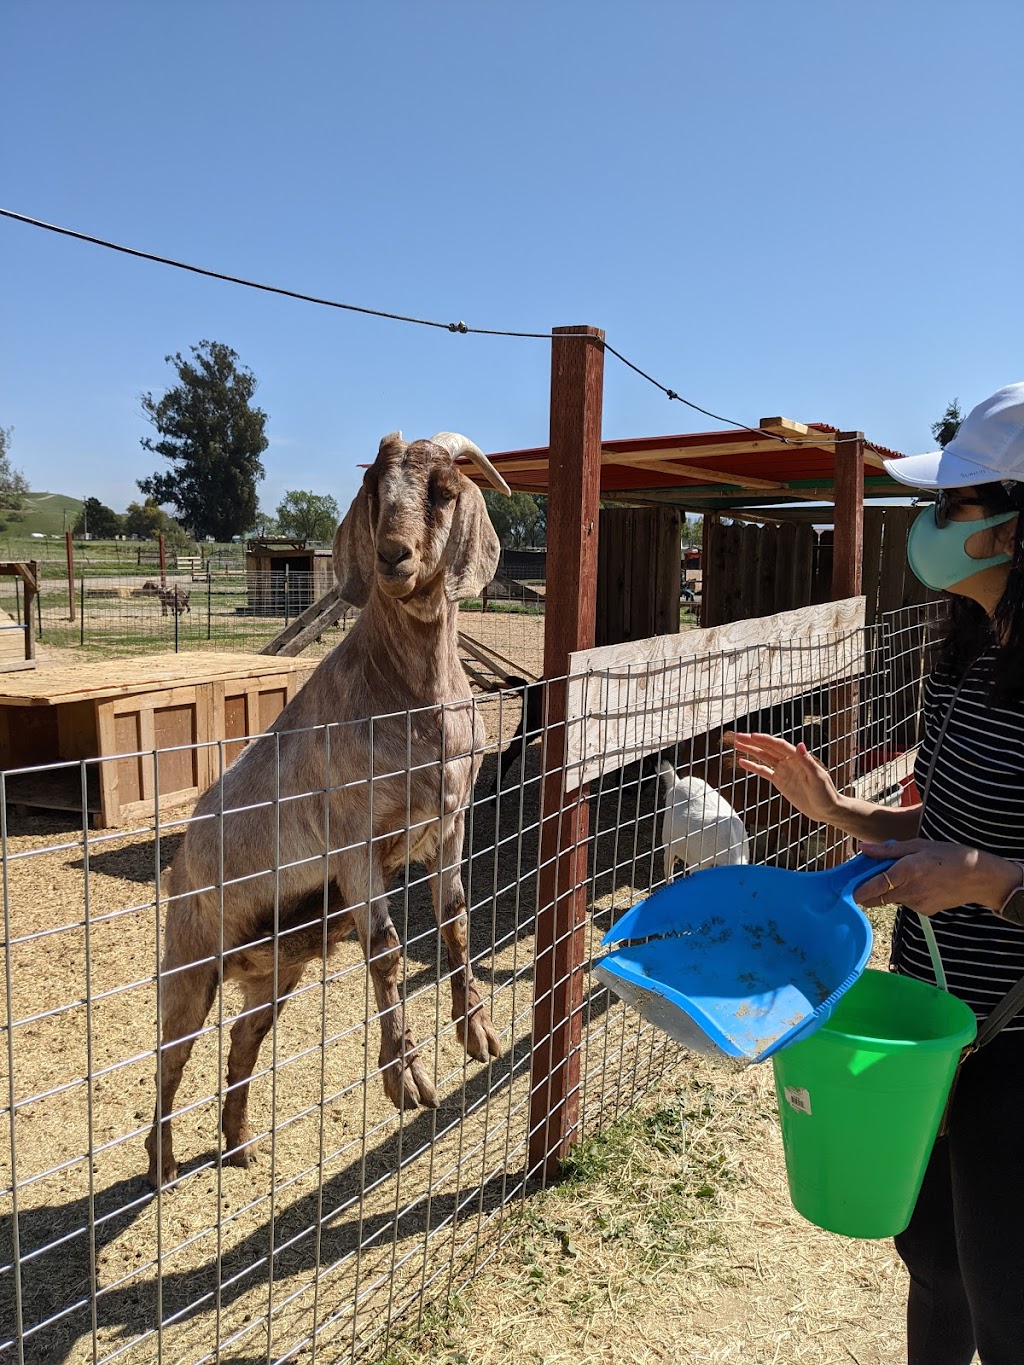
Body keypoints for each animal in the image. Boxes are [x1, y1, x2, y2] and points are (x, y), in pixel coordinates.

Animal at [142, 428, 510, 1184]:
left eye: (444, 491)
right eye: (374, 492)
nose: (393, 555)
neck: (411, 703)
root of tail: (181, 862)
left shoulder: (449, 823)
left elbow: (458, 924)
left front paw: (480, 1033)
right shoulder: (353, 840)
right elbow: (387, 950)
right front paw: (408, 1081)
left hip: (275, 972)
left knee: (242, 1038)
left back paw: (240, 1144)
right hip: (189, 961)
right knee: (170, 1056)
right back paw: (160, 1165)